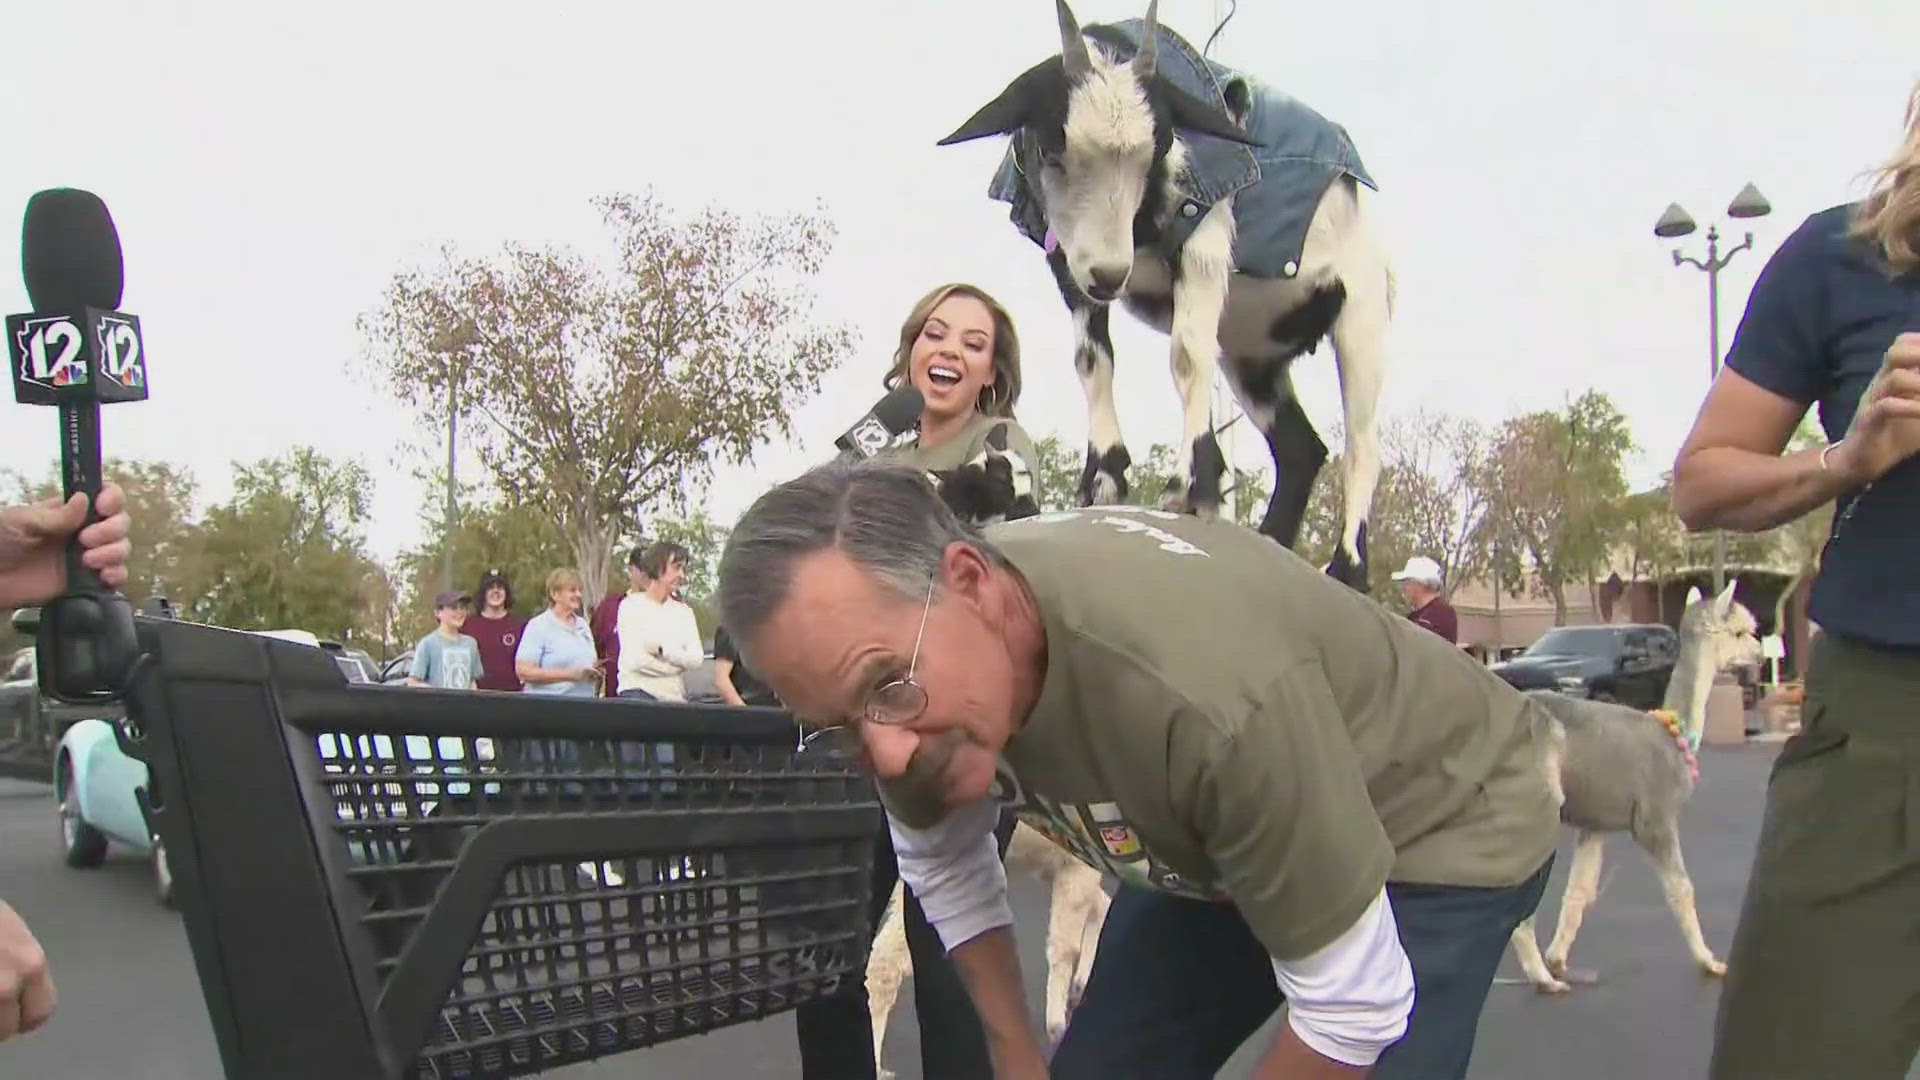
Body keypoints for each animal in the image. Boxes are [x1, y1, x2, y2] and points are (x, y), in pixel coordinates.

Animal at [940, 0, 1397, 588]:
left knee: (1362, 445)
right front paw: (1104, 481)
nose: (1112, 276)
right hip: (1253, 357)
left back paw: (1347, 568)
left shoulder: (1204, 240)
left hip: (1361, 314)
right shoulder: (1068, 261)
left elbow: (1186, 358)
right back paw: (1274, 540)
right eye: (1050, 147)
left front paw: (1186, 487)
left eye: (1160, 146)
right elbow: (1092, 360)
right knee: (1302, 449)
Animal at [1505, 580, 1758, 991]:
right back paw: (1542, 980)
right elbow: (1682, 889)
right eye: (1739, 631)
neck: (1671, 734)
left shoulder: (1596, 824)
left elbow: (1579, 892)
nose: (1760, 654)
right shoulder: (1655, 818)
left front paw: (1558, 959)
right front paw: (1711, 963)